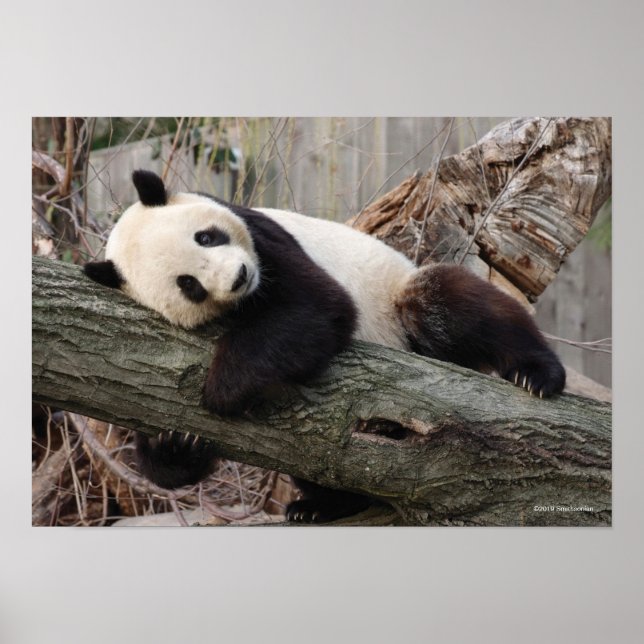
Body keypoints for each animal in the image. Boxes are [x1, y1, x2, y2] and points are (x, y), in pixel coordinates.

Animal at [84, 169, 566, 523]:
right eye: (189, 285)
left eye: (206, 237)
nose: (240, 276)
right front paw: (175, 443)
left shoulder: (264, 239)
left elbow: (317, 308)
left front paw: (220, 389)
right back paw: (320, 506)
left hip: (398, 302)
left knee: (450, 304)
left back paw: (538, 375)